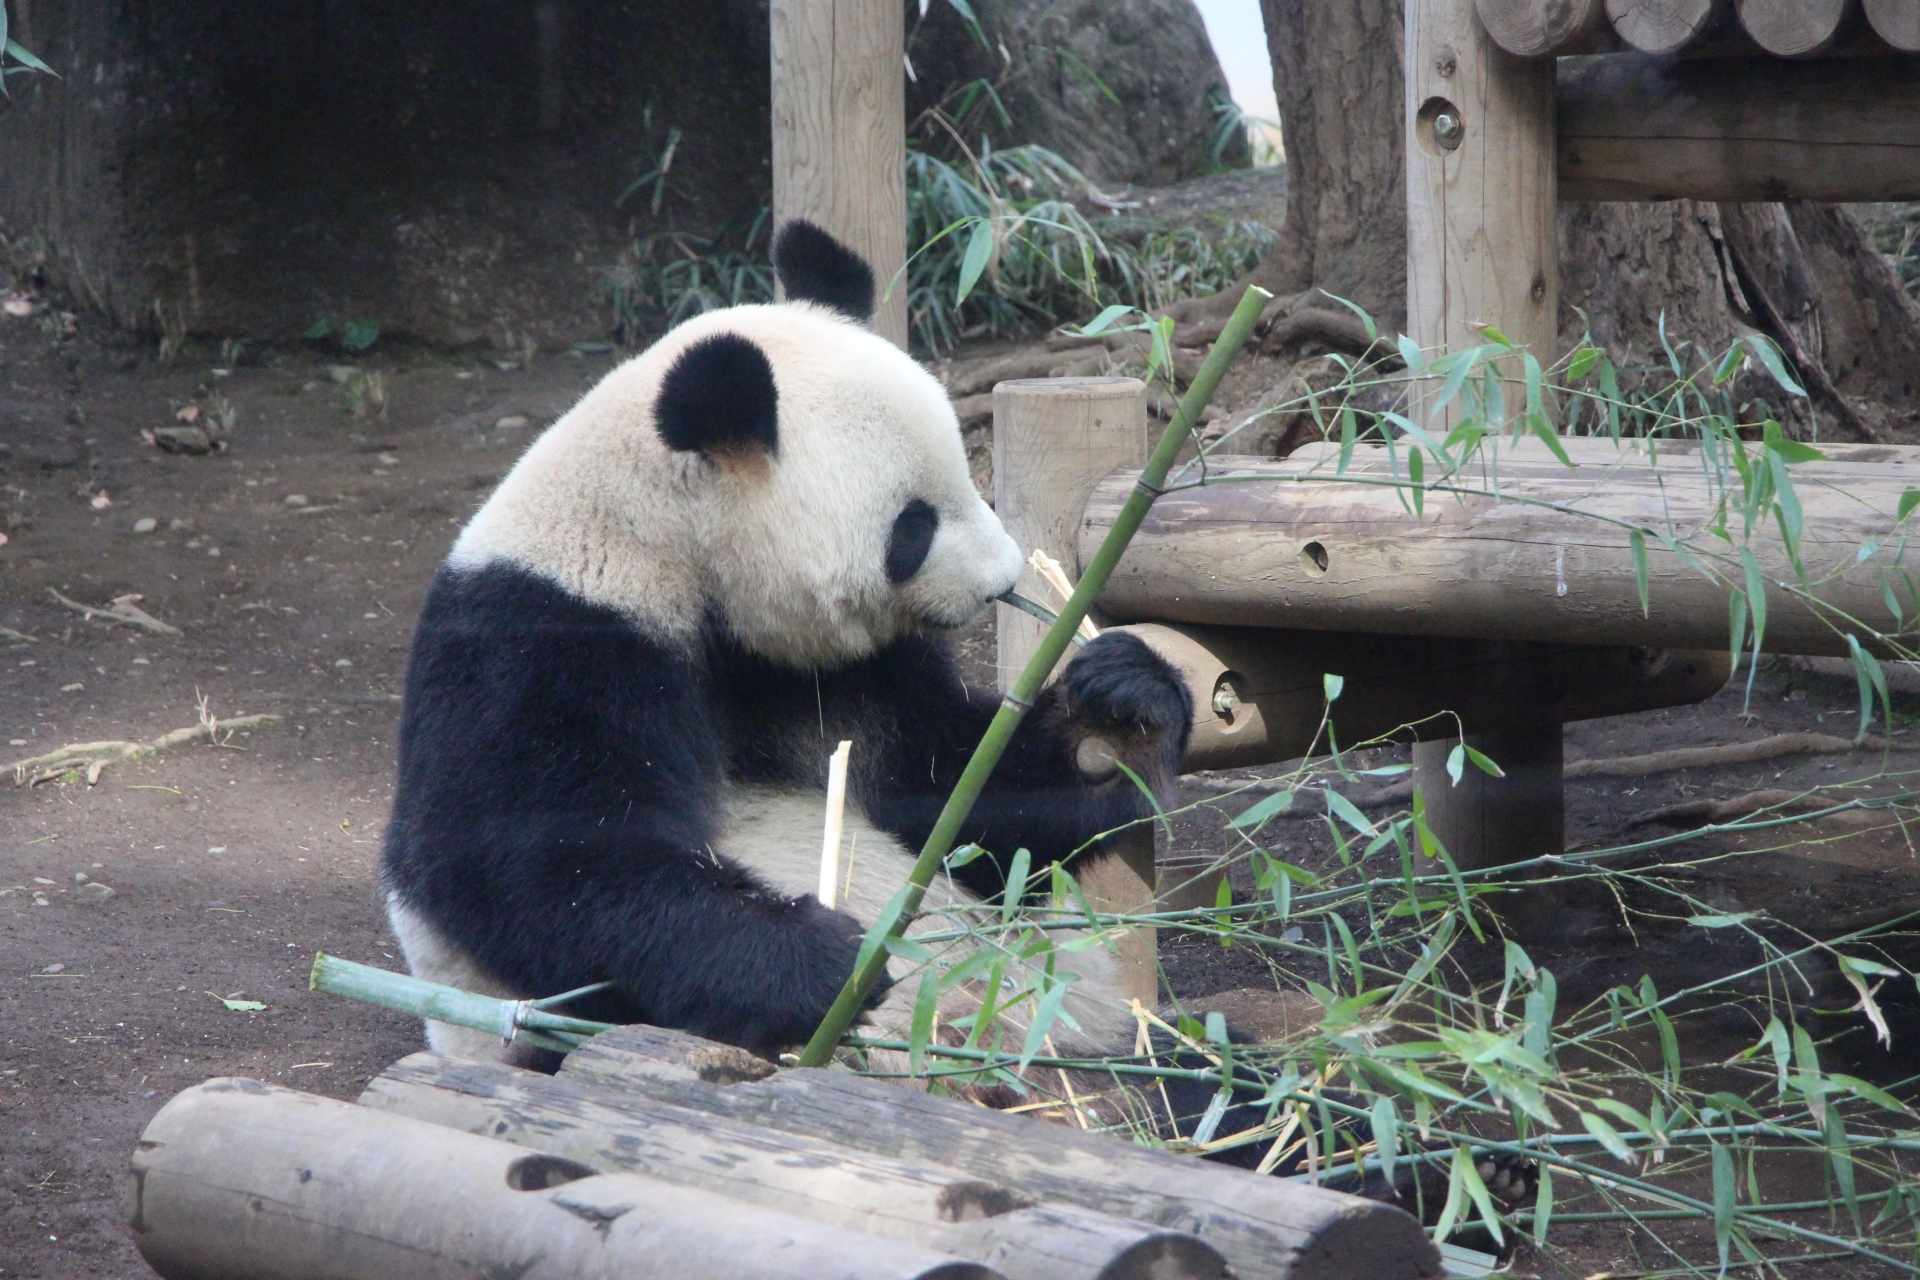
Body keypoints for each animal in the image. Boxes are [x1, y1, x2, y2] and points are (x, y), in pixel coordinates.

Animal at [380, 220, 1190, 1074]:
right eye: (912, 528)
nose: (1001, 579)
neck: (669, 545)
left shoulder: (830, 672)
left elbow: (951, 795)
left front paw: (1118, 715)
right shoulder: (543, 640)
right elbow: (525, 861)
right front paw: (822, 959)